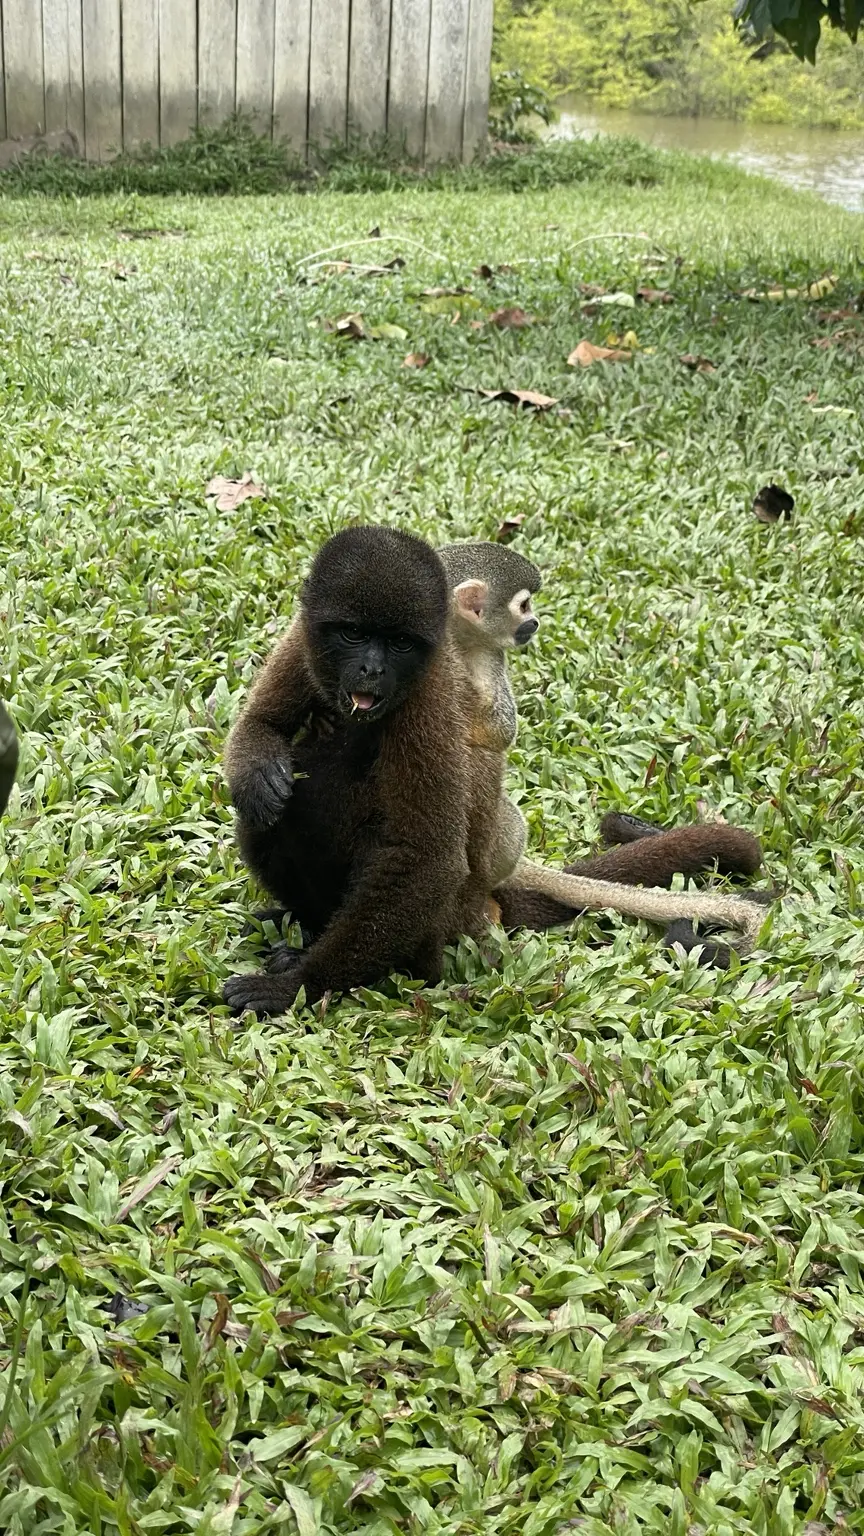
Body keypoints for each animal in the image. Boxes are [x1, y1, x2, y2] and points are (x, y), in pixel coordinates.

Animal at [221, 525, 503, 1017]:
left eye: (400, 643)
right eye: (353, 633)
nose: (373, 669)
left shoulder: (426, 703)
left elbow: (427, 856)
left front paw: (294, 987)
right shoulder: (301, 638)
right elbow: (262, 723)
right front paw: (259, 778)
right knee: (265, 815)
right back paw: (301, 923)